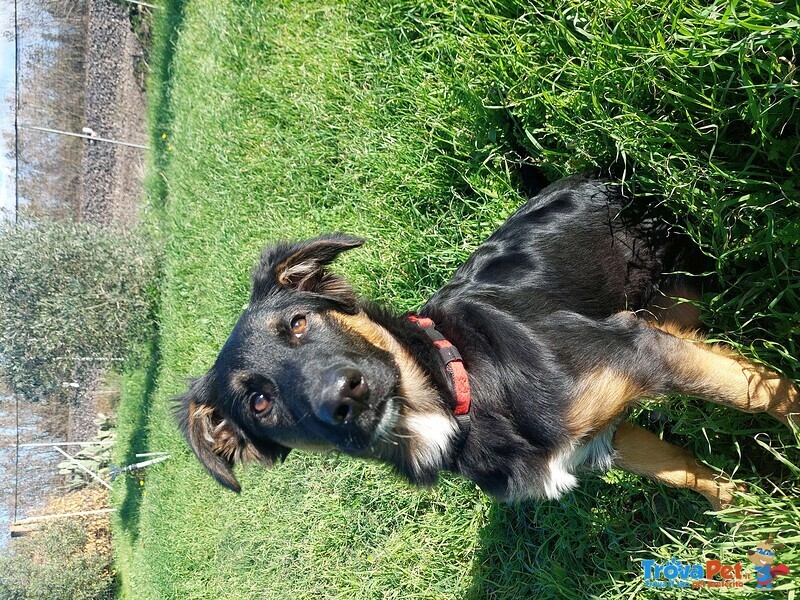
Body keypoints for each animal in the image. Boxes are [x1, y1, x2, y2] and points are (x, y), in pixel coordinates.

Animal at [177, 176, 800, 508]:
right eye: (259, 402)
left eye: (299, 322)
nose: (344, 395)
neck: (462, 386)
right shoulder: (603, 431)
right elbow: (693, 474)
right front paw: (756, 522)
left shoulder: (636, 350)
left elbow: (772, 396)